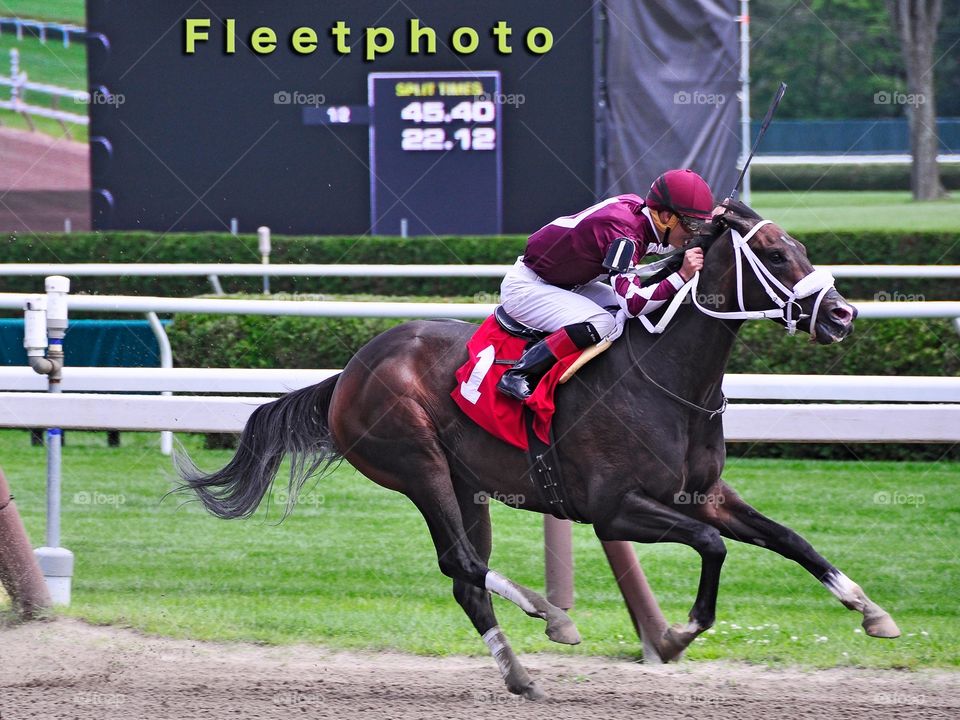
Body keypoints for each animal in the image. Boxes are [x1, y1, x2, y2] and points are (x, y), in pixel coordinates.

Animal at [178, 201, 900, 696]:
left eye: (800, 245)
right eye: (775, 254)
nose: (842, 315)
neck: (666, 377)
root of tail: (349, 371)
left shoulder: (704, 493)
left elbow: (788, 538)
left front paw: (871, 610)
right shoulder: (612, 509)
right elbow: (712, 546)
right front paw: (675, 634)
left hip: (467, 484)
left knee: (464, 577)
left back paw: (521, 669)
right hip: (417, 464)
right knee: (463, 561)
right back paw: (544, 611)